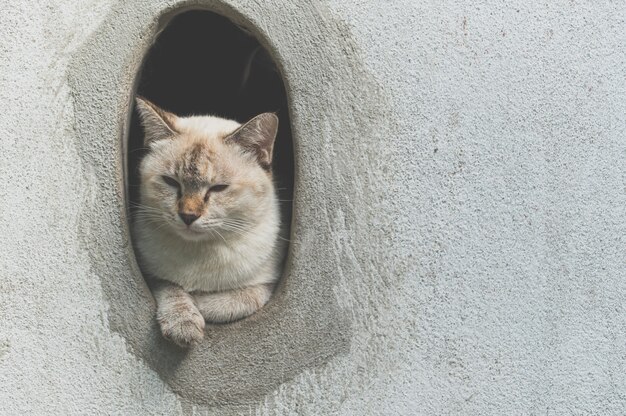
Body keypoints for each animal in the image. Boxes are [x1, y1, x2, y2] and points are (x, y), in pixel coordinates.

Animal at [133, 96, 280, 346]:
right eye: (171, 182)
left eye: (218, 188)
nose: (188, 216)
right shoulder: (151, 273)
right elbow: (172, 289)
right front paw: (183, 323)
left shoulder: (268, 283)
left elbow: (235, 301)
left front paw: (199, 305)